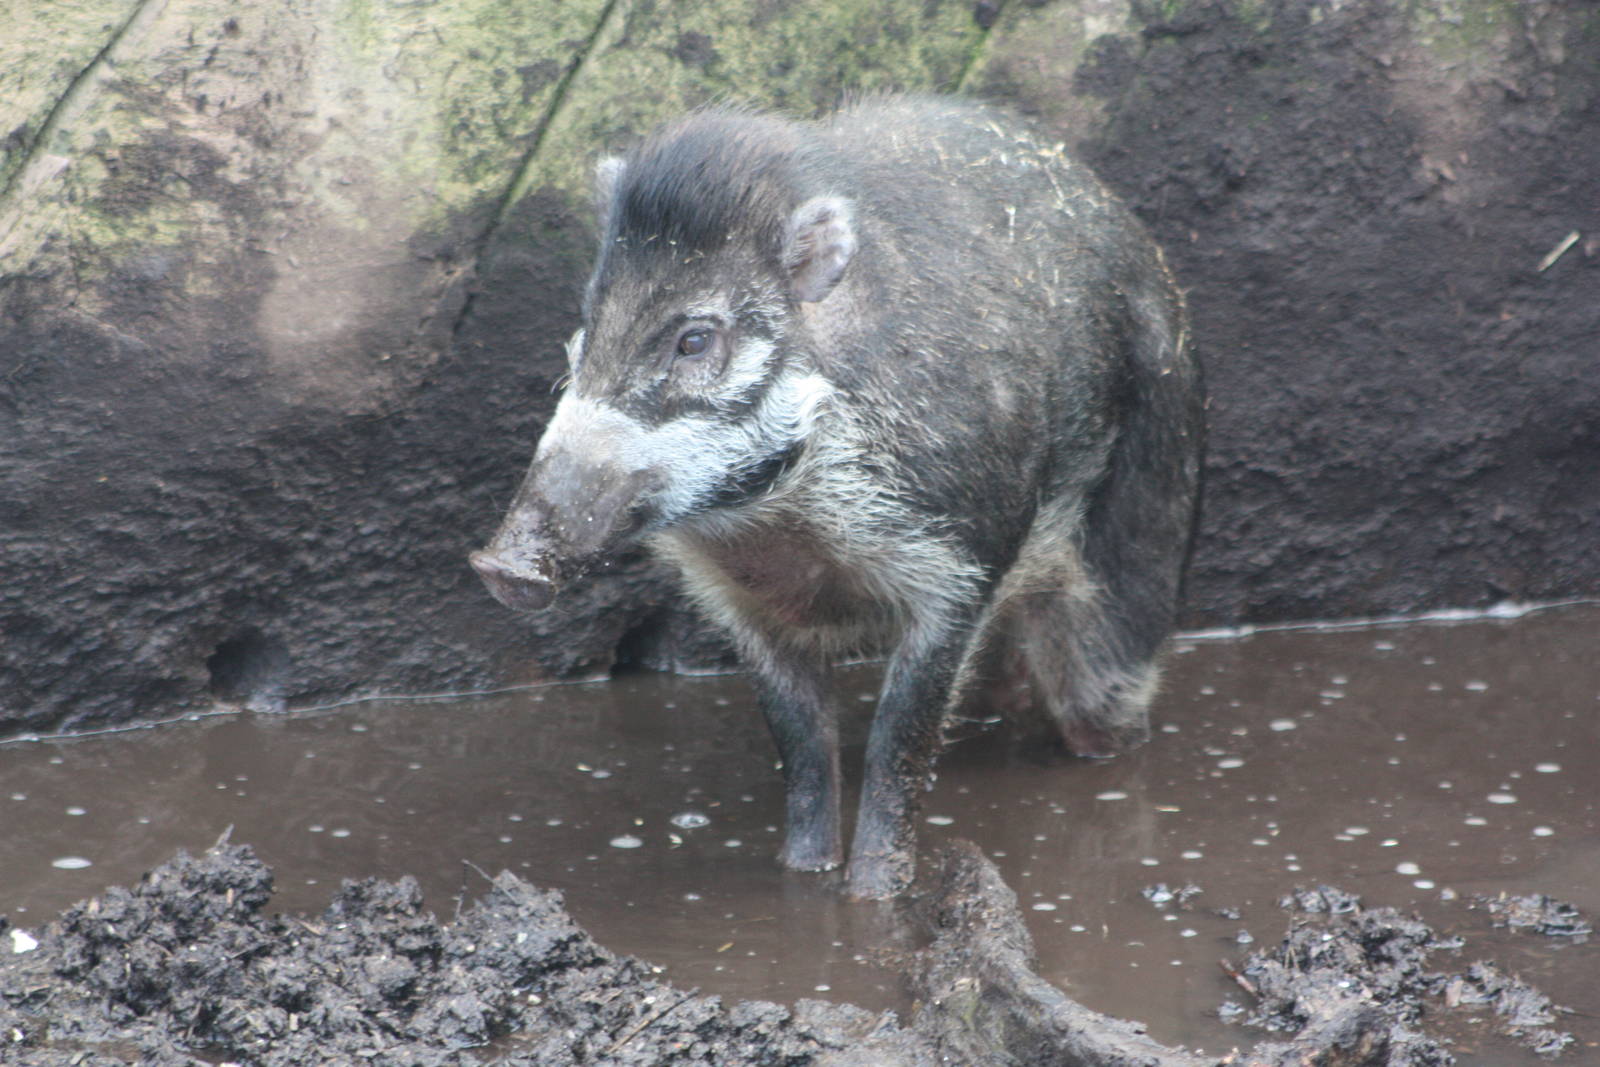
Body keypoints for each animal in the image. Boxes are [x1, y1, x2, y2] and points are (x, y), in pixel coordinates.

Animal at [470, 95, 1204, 899]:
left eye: (694, 340)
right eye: (588, 325)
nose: (499, 566)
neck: (791, 533)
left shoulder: (961, 566)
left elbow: (898, 744)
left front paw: (875, 896)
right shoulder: (741, 607)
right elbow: (803, 751)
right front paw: (804, 874)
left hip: (1148, 510)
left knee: (1105, 694)